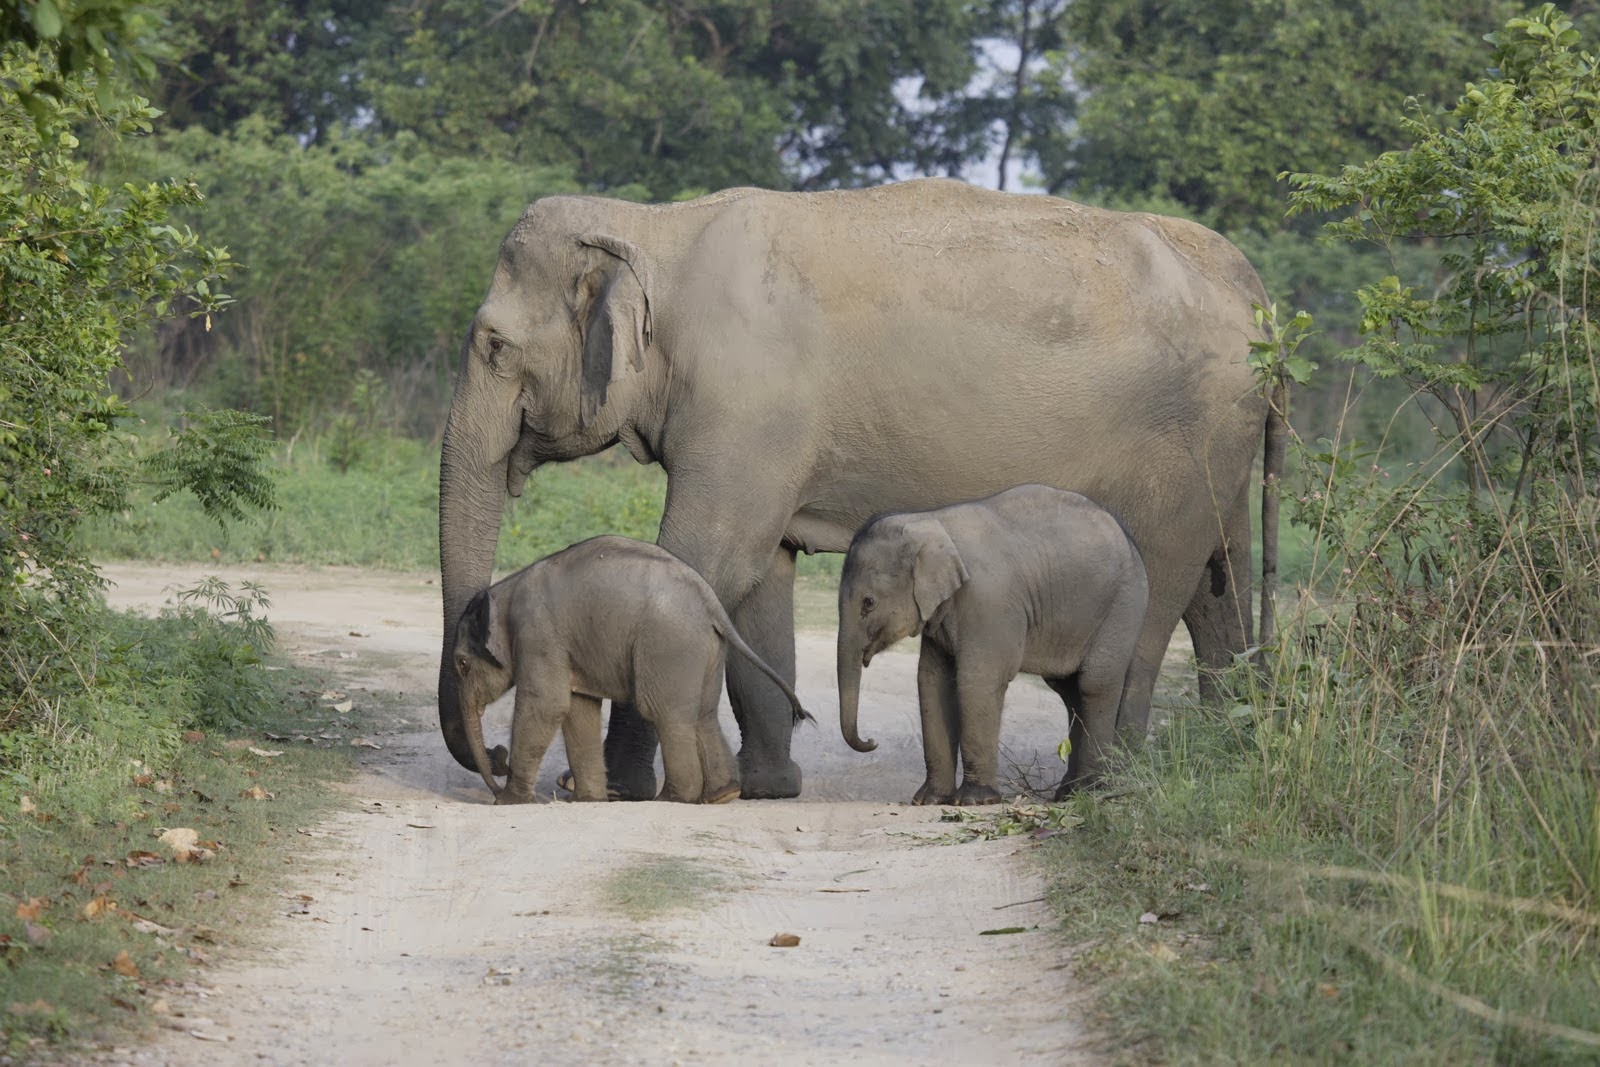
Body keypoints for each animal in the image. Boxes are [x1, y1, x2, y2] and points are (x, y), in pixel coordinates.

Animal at [457, 537, 819, 806]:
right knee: (702, 713)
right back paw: (721, 794)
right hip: (708, 648)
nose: (498, 757)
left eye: (461, 664)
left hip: (668, 645)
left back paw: (673, 798)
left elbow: (547, 705)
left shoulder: (539, 636)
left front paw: (510, 803)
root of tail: (711, 603)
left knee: (664, 712)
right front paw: (588, 801)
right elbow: (578, 709)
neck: (505, 591)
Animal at [838, 483, 1152, 799]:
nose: (872, 741)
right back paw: (1068, 793)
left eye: (868, 603)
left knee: (1094, 684)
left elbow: (978, 679)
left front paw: (976, 799)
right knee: (1068, 690)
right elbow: (932, 682)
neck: (928, 521)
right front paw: (930, 799)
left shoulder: (989, 602)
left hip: (1123, 606)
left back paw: (1090, 791)